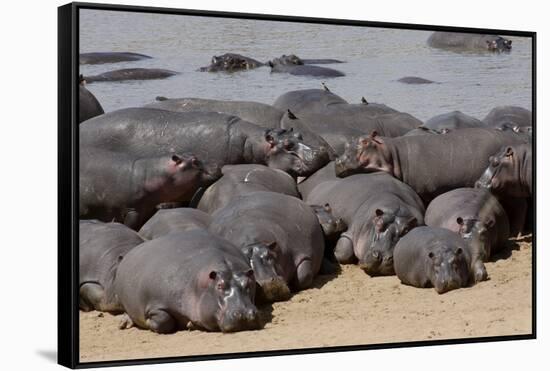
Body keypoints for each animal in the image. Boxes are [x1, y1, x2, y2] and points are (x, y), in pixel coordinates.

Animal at [80, 148, 222, 230]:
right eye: (194, 161)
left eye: (195, 156)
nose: (217, 165)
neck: (149, 174)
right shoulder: (132, 210)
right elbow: (130, 226)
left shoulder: (148, 208)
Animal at [114, 231, 260, 336]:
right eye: (219, 285)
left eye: (249, 283)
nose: (244, 314)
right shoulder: (155, 303)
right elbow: (164, 320)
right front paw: (149, 322)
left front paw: (191, 325)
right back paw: (123, 323)